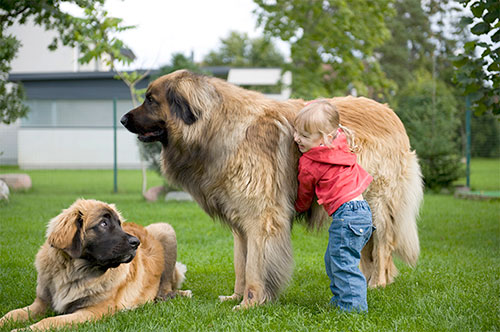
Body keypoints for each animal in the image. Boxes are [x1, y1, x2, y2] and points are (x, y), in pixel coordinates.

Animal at [0, 198, 191, 330]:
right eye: (103, 223)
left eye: (119, 224)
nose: (136, 242)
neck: (73, 272)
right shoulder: (41, 303)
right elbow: (12, 313)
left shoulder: (91, 311)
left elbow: (49, 321)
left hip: (165, 229)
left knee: (164, 288)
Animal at [121, 69, 422, 308]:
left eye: (151, 99)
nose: (123, 120)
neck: (217, 126)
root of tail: (389, 112)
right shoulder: (241, 223)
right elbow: (241, 264)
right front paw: (236, 297)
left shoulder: (262, 218)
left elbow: (255, 266)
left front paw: (250, 303)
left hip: (377, 202)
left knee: (383, 245)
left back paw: (377, 283)